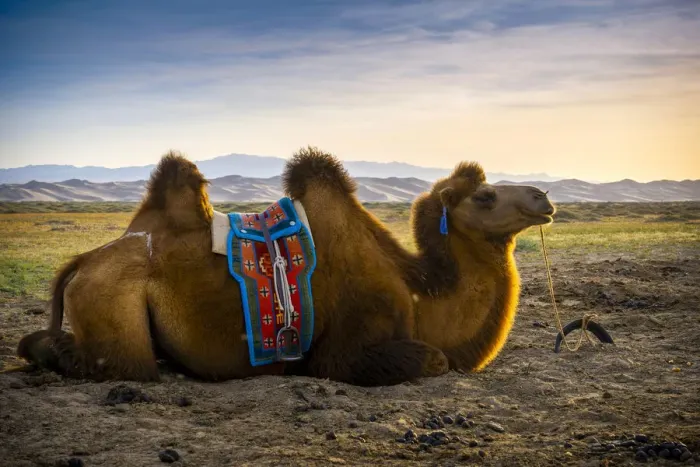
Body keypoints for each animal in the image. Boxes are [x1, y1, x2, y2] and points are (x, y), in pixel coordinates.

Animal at [17, 147, 555, 385]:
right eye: (484, 197)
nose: (543, 196)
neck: (418, 293)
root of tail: (82, 261)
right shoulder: (348, 347)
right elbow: (434, 359)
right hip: (113, 308)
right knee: (117, 363)